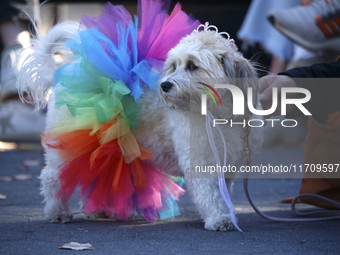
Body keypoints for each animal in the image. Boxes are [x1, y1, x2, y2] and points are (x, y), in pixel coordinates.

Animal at [16, 21, 262, 231]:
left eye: (193, 66)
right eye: (173, 65)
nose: (165, 85)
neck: (215, 113)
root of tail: (61, 74)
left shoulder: (227, 163)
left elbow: (223, 193)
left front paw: (225, 214)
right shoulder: (199, 161)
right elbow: (210, 195)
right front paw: (219, 218)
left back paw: (97, 210)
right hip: (67, 148)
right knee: (52, 178)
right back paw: (57, 212)